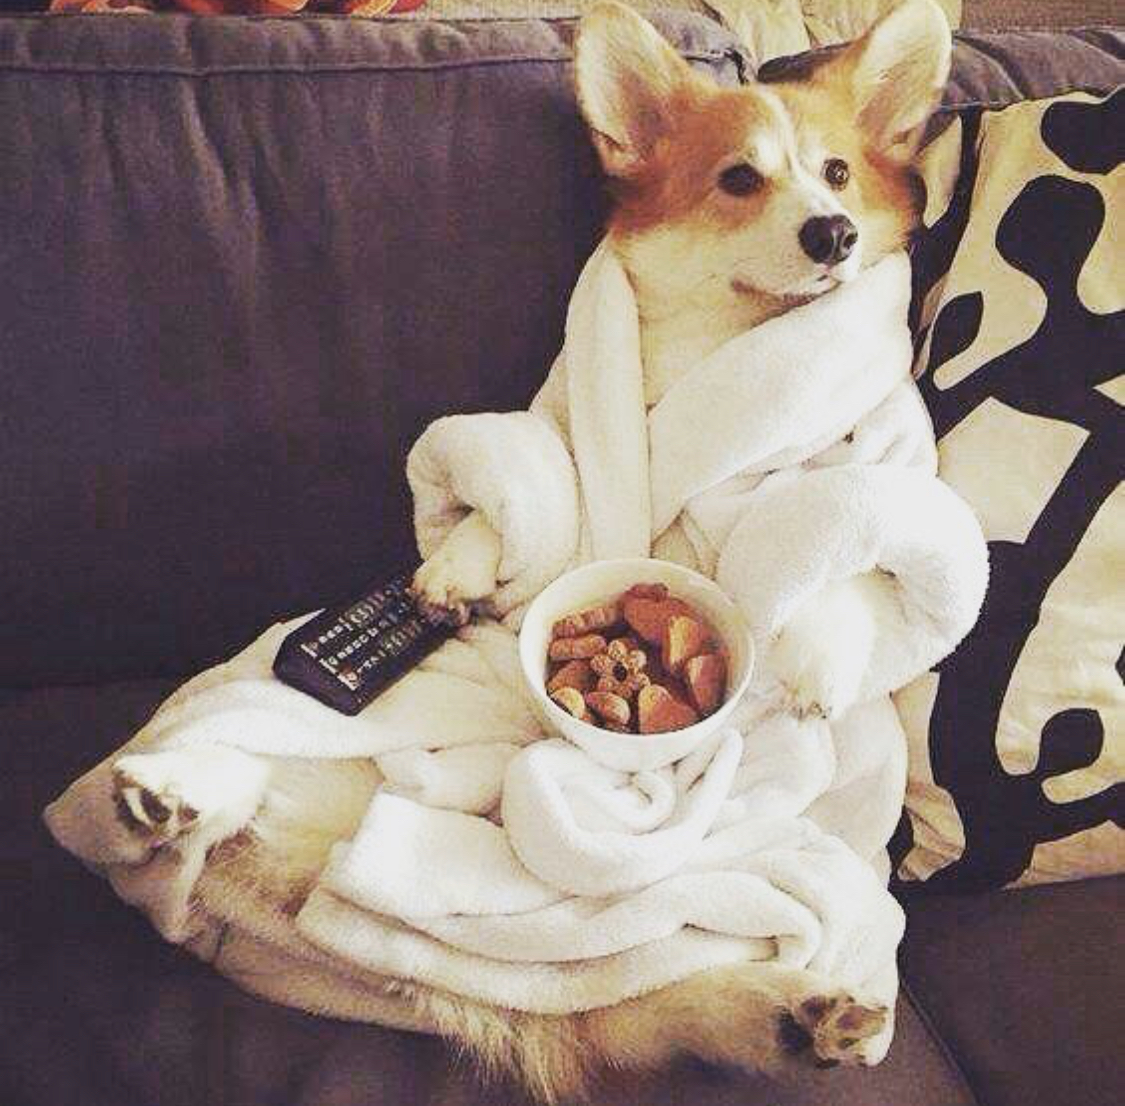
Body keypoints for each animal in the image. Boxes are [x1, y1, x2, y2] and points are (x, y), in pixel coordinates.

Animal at [103, 4, 949, 1102]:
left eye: (839, 174)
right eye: (739, 179)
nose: (833, 233)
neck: (728, 343)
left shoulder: (880, 468)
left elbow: (835, 538)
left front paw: (818, 653)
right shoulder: (564, 446)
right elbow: (527, 489)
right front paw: (459, 566)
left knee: (661, 1002)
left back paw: (801, 1018)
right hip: (307, 719)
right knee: (238, 786)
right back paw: (167, 796)